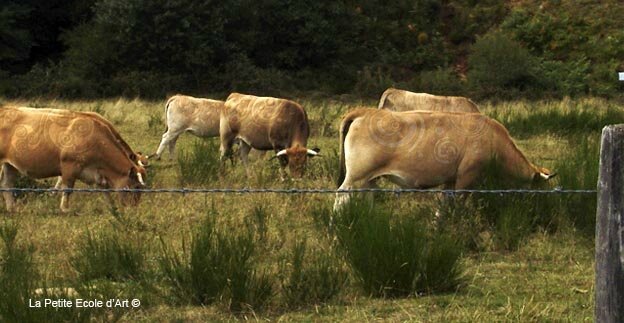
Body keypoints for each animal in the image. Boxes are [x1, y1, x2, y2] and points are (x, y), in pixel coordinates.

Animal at [0, 107, 147, 213]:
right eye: (136, 186)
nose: (134, 208)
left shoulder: (98, 173)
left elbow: (105, 190)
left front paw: (112, 208)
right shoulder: (69, 167)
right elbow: (67, 189)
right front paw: (64, 209)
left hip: (10, 165)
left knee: (7, 184)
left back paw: (12, 208)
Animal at [334, 108, 552, 210]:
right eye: (538, 188)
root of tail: (366, 111)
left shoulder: (450, 179)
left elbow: (444, 207)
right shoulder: (467, 177)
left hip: (368, 179)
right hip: (355, 176)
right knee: (341, 196)